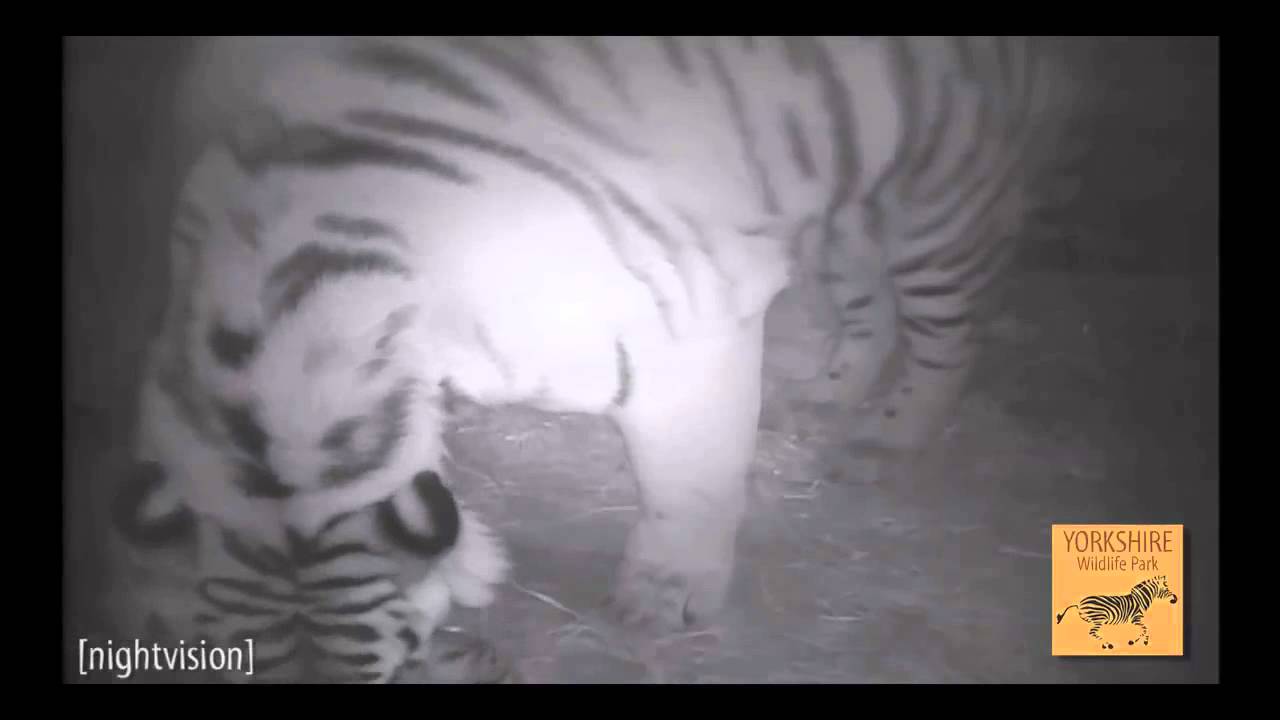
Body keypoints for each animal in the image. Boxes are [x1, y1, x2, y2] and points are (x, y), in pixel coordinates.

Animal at [107, 36, 1087, 681]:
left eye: (391, 669)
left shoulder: (693, 326)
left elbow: (690, 483)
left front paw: (665, 598)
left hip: (941, 200)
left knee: (947, 336)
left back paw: (889, 434)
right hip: (848, 206)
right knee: (869, 308)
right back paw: (823, 393)